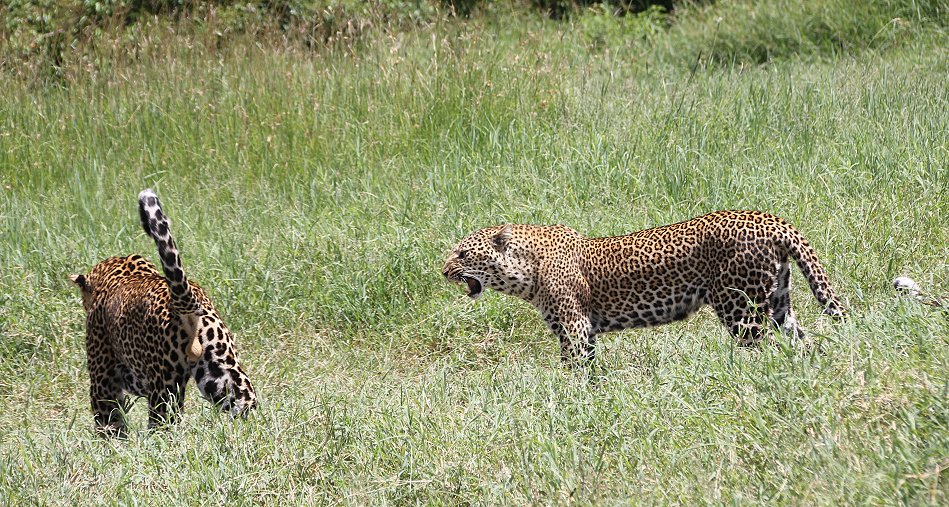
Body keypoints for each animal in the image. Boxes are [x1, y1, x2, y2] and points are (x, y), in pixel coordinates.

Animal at [70, 190, 258, 436]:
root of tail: (185, 303)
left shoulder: (102, 377)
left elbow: (109, 422)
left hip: (164, 384)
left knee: (165, 426)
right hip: (220, 368)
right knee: (245, 402)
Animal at [442, 210, 844, 366]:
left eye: (462, 253)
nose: (444, 270)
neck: (526, 271)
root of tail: (771, 219)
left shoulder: (573, 326)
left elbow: (573, 367)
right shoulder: (584, 330)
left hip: (740, 308)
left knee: (768, 350)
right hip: (777, 302)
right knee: (800, 342)